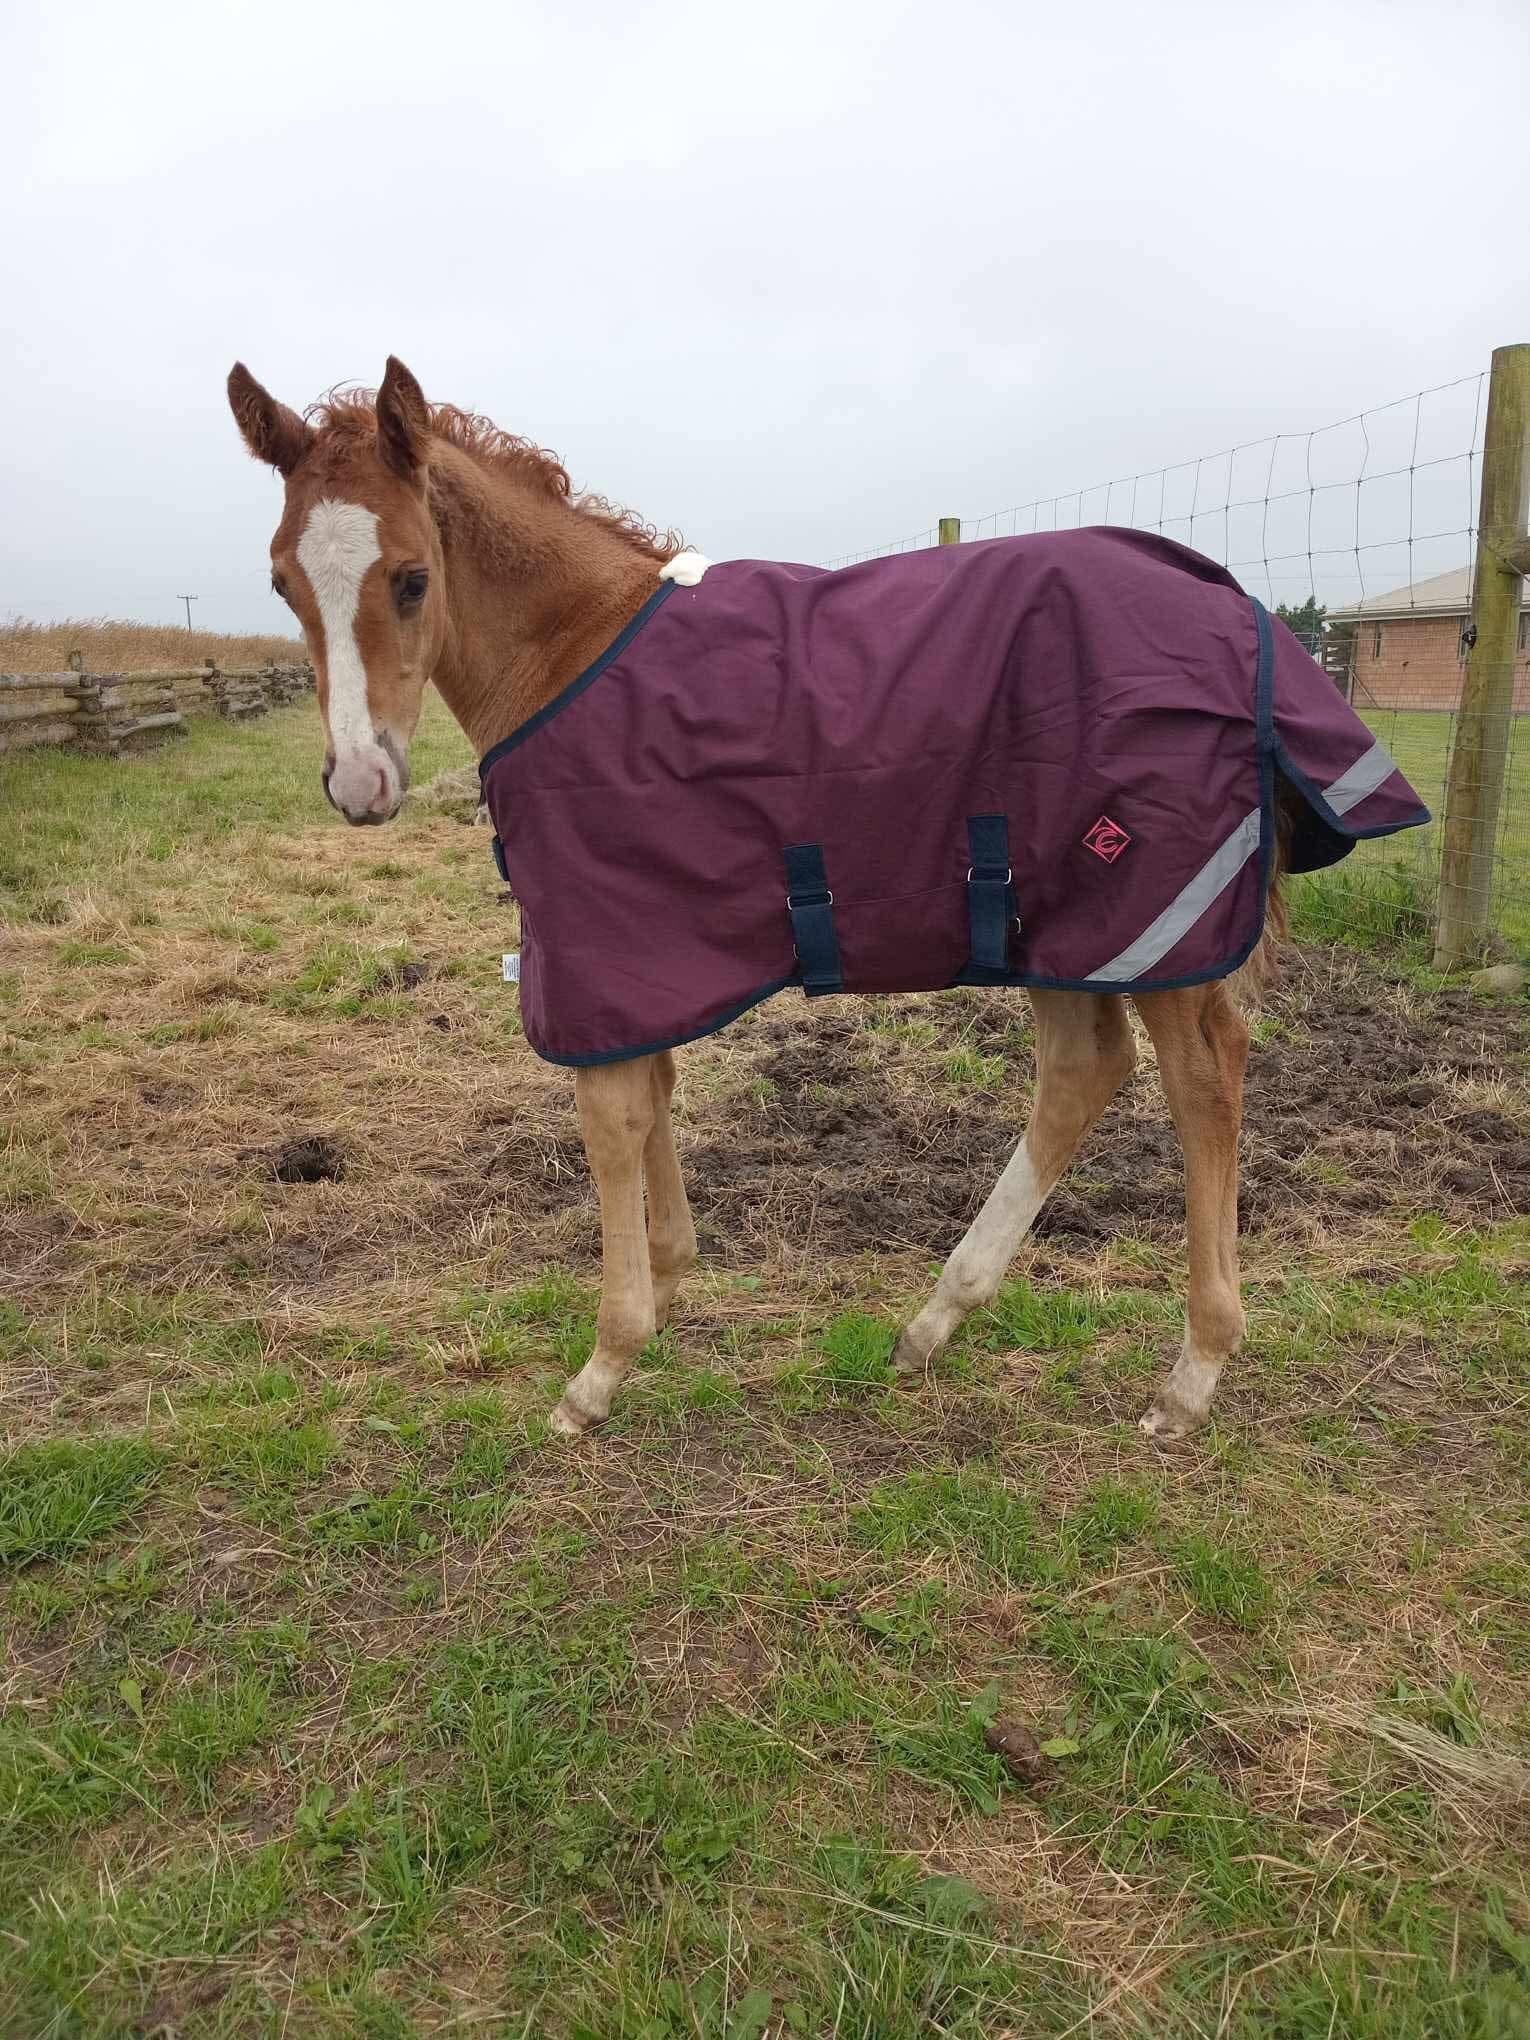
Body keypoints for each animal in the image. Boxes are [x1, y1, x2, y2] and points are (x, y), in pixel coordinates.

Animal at [227, 357, 1427, 1442]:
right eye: (284, 583)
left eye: (411, 577)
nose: (359, 784)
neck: (573, 650)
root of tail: (1240, 610)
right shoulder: (640, 953)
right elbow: (655, 1095)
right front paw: (671, 1280)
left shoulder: (597, 945)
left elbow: (614, 1118)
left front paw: (603, 1366)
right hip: (1061, 924)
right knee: (1084, 1072)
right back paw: (936, 1321)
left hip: (1155, 915)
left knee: (1202, 1083)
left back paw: (1192, 1374)